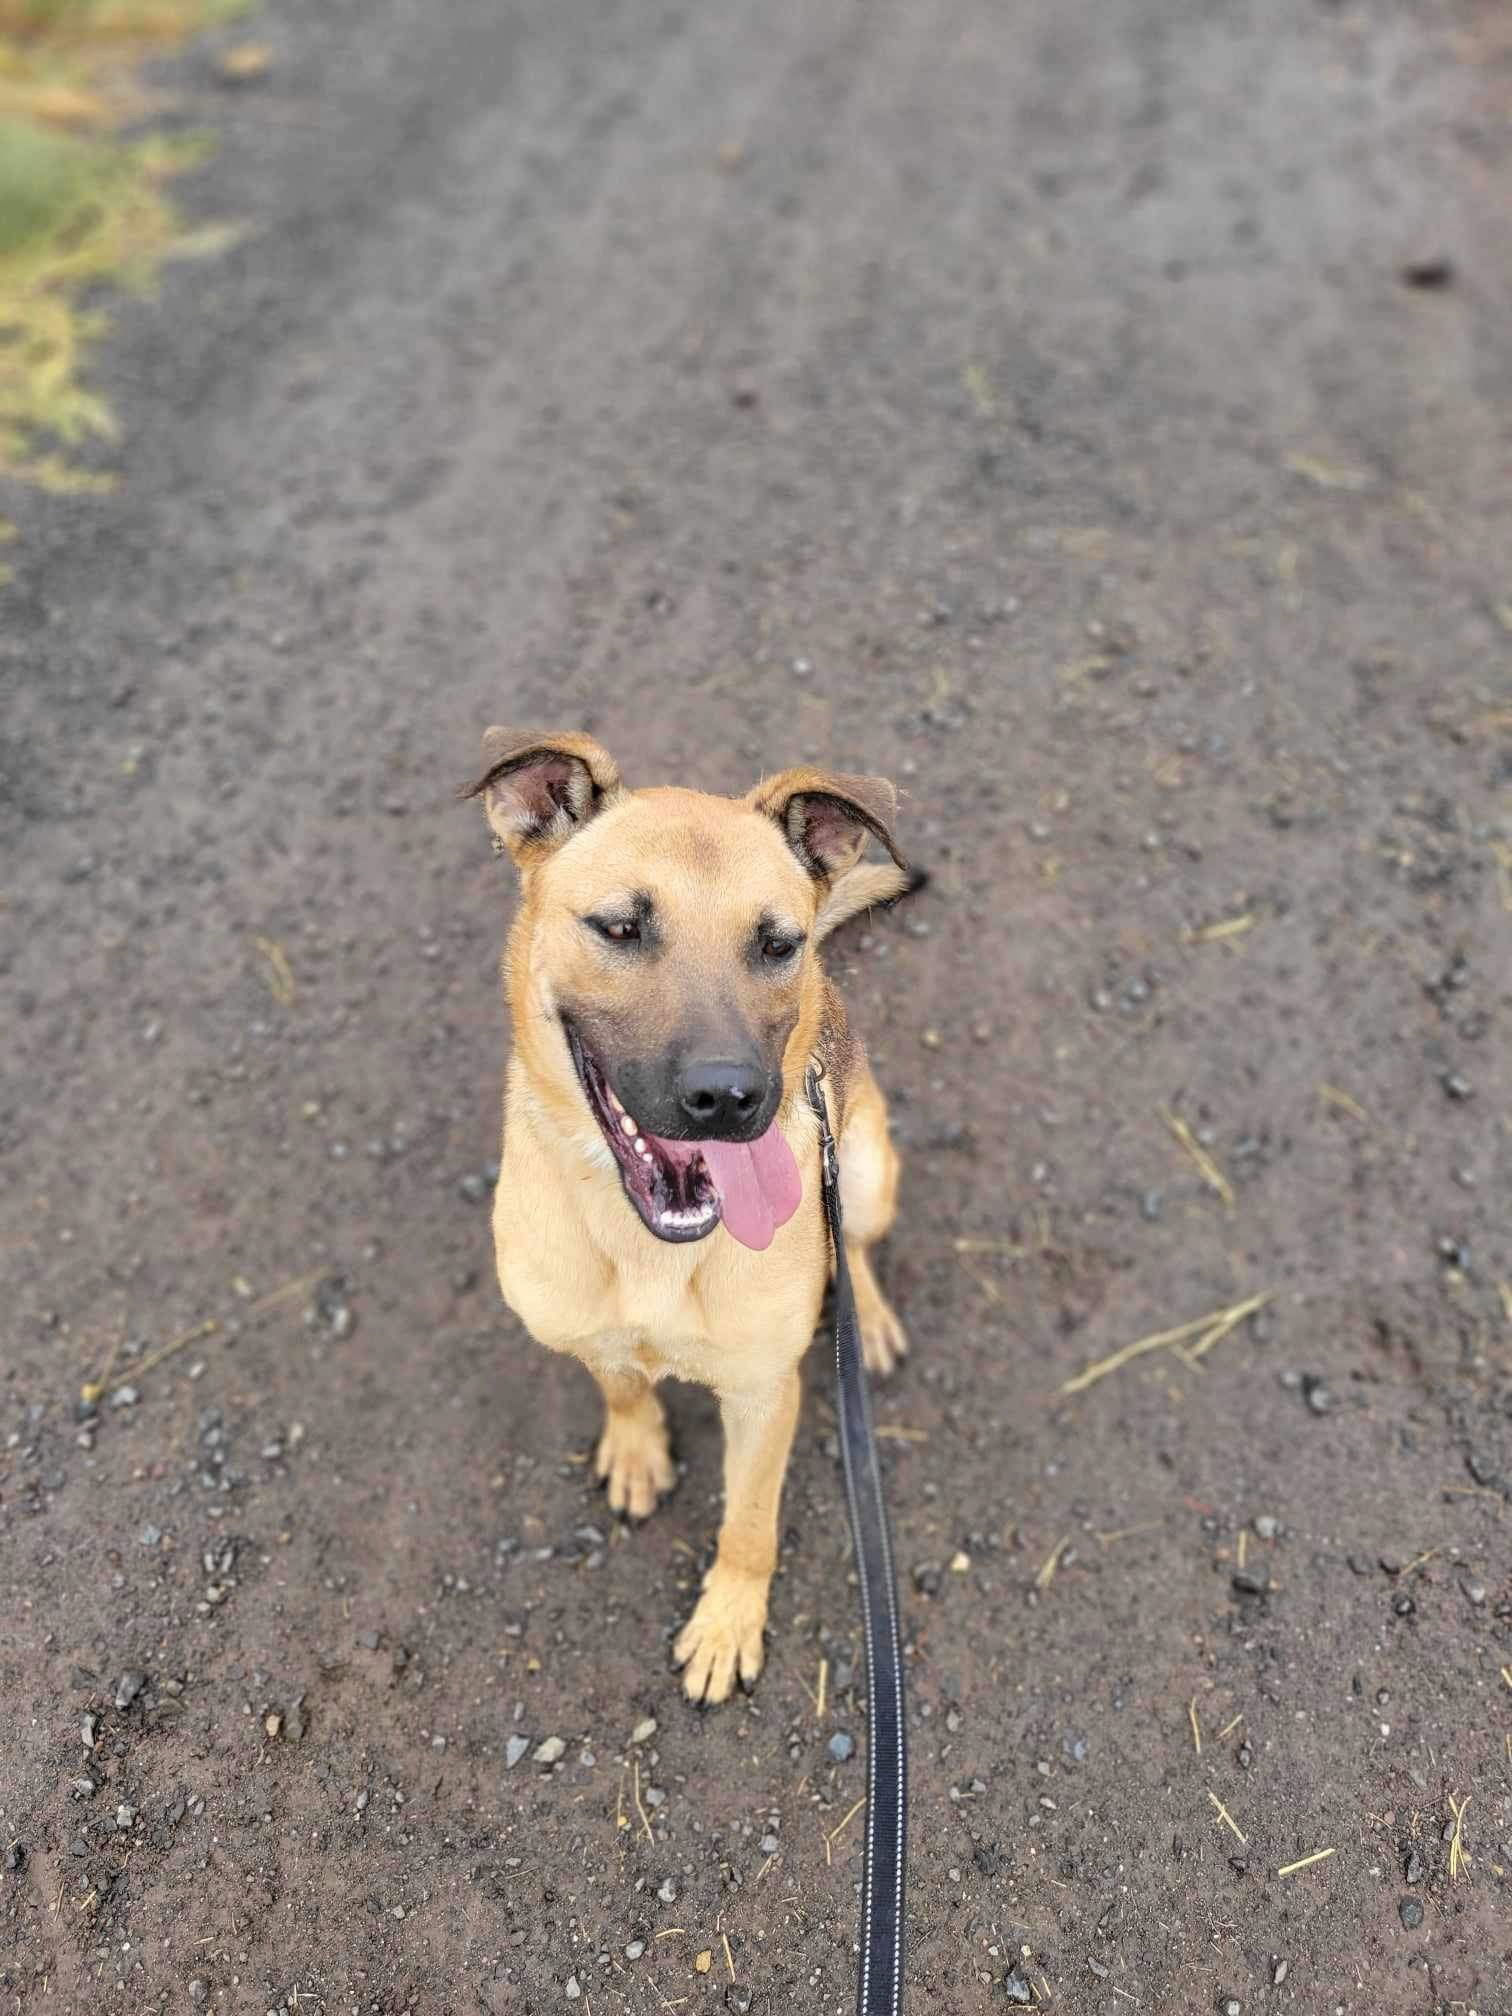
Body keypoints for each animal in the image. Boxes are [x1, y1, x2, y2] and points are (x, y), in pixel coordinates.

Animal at [461, 725, 911, 1701]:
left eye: (778, 944)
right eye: (621, 928)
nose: (729, 1097)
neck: (650, 1248)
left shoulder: (764, 1395)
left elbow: (748, 1524)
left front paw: (726, 1624)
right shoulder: (586, 1331)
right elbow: (622, 1383)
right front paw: (637, 1450)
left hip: (861, 1165)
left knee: (854, 1244)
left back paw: (866, 1319)